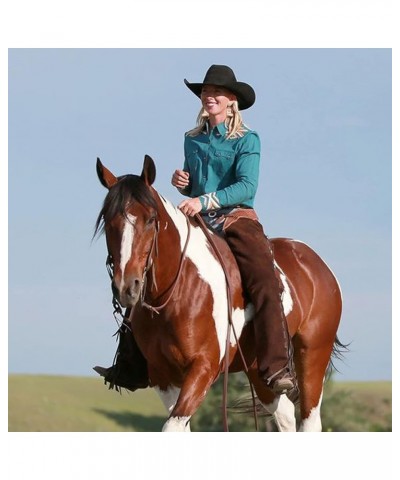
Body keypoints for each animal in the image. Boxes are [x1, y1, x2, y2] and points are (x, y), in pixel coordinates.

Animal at [94, 156, 344, 434]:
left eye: (150, 219)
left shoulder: (204, 368)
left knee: (309, 419)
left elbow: (172, 425)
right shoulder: (163, 375)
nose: (127, 287)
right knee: (286, 415)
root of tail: (318, 265)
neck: (178, 292)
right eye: (108, 222)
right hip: (258, 369)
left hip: (312, 356)